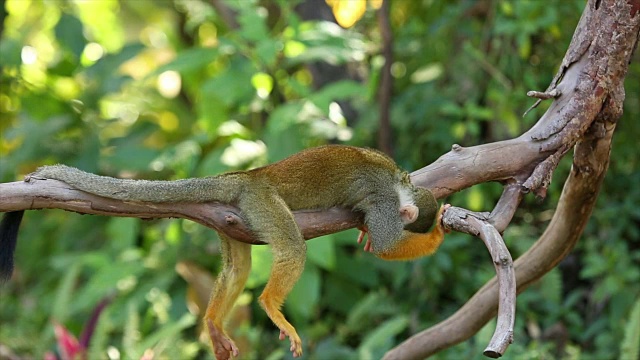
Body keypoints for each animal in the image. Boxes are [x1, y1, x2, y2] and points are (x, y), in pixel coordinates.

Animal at [0, 145, 448, 358]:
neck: (399, 183)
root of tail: (249, 174)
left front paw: (367, 234)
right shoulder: (386, 200)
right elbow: (389, 243)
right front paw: (438, 234)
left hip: (238, 214)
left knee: (239, 265)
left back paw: (213, 322)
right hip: (263, 201)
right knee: (291, 246)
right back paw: (269, 305)